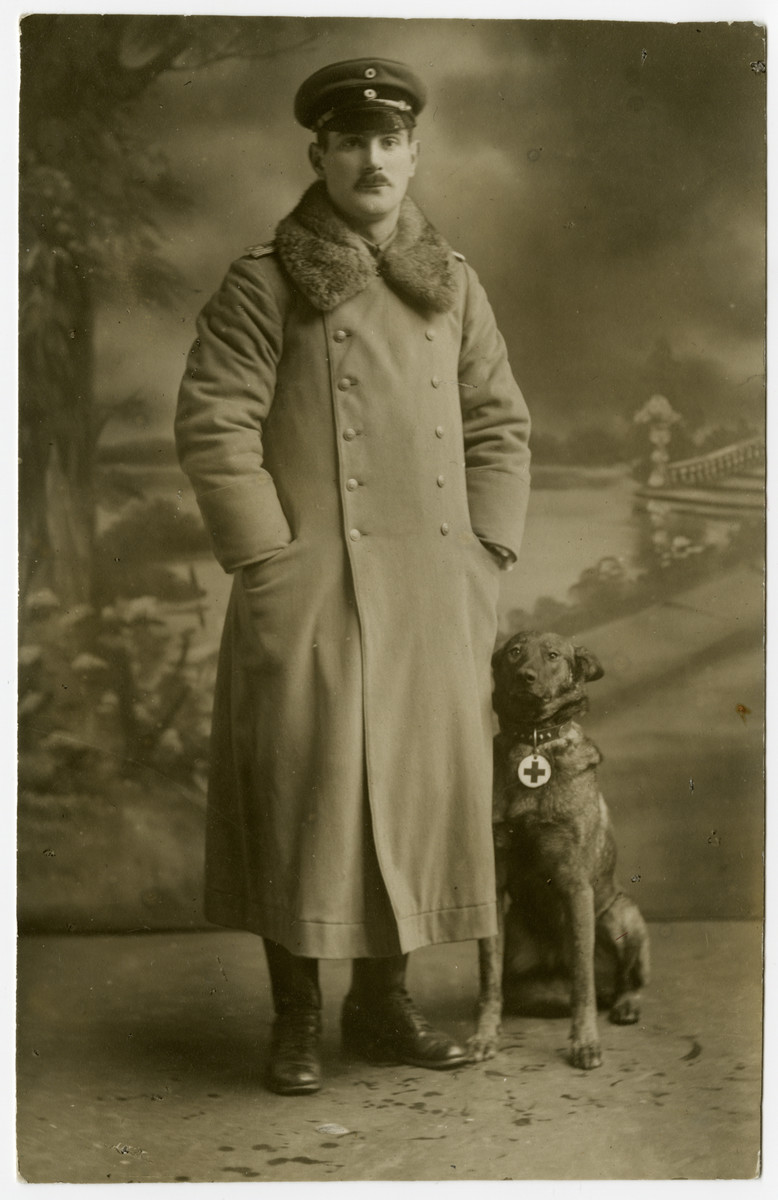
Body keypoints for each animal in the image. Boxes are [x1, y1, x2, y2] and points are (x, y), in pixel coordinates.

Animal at [470, 628, 648, 1070]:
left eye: (553, 655)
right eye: (514, 653)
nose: (526, 676)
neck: (535, 741)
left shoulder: (576, 886)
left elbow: (583, 982)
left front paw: (585, 1041)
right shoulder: (494, 885)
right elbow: (488, 978)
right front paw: (484, 1034)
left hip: (620, 914)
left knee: (623, 981)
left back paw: (626, 1003)